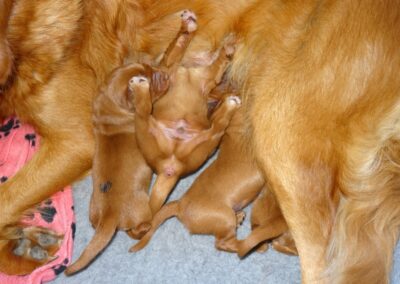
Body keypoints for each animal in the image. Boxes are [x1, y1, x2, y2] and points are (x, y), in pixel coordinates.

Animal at [134, 11, 241, 215]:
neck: (189, 69)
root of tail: (169, 169)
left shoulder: (203, 77)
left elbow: (182, 47)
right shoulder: (171, 66)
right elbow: (179, 45)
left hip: (203, 142)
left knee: (217, 126)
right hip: (149, 131)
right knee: (142, 112)